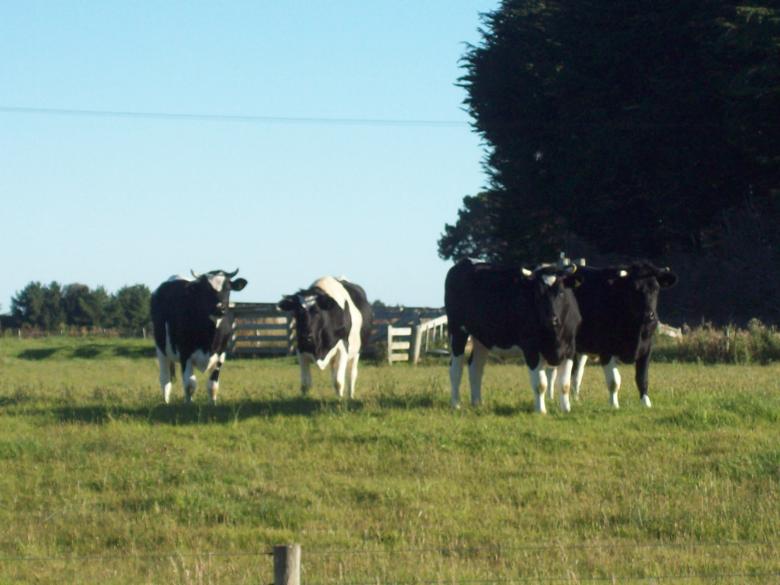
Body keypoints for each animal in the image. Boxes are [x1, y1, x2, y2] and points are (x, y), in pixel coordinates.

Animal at [150, 269, 248, 404]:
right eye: (206, 290)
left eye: (228, 288)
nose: (220, 308)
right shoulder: (185, 354)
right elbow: (190, 385)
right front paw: (188, 404)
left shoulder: (221, 355)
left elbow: (212, 386)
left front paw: (213, 404)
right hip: (161, 349)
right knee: (165, 380)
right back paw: (166, 402)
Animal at [445, 258, 583, 413]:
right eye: (537, 294)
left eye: (561, 292)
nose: (551, 319)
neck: (555, 336)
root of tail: (466, 262)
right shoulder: (531, 348)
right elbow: (540, 385)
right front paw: (541, 411)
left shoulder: (570, 349)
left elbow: (565, 384)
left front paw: (566, 409)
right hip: (457, 330)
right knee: (456, 369)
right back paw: (456, 404)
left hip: (481, 338)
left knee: (475, 368)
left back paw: (477, 403)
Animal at [562, 261, 678, 408]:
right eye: (634, 289)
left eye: (656, 289)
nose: (649, 315)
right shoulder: (605, 350)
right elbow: (614, 381)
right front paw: (614, 405)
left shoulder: (647, 348)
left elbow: (642, 378)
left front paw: (646, 402)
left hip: (581, 348)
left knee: (576, 373)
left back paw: (576, 399)